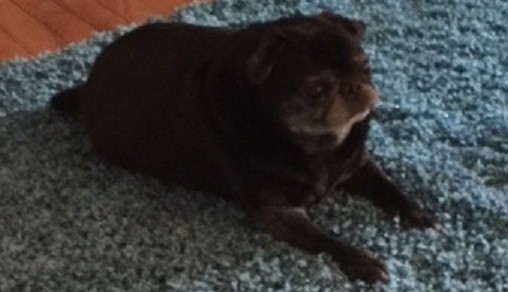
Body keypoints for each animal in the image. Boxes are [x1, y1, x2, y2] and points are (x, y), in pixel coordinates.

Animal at [51, 12, 436, 284]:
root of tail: (87, 87)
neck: (316, 144)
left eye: (366, 68)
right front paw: (361, 260)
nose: (355, 87)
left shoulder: (358, 164)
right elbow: (327, 239)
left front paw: (414, 212)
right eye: (316, 90)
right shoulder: (277, 213)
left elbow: (388, 188)